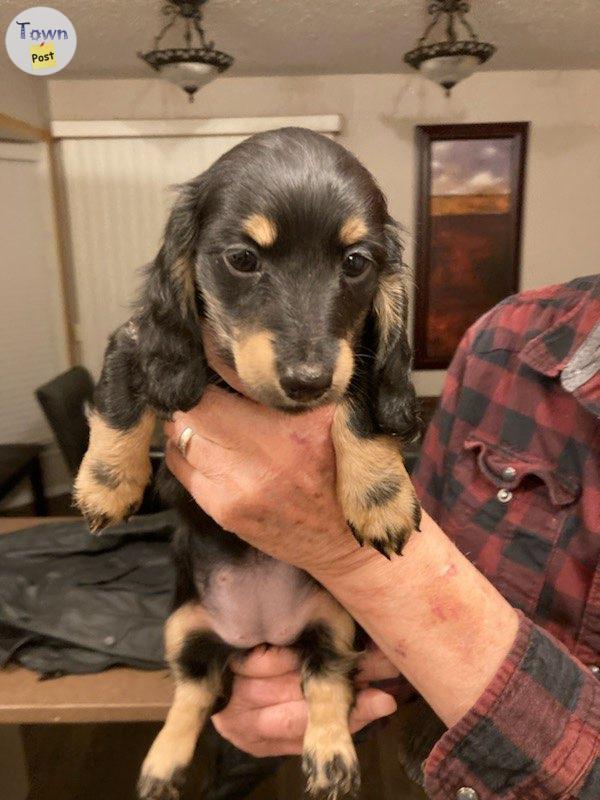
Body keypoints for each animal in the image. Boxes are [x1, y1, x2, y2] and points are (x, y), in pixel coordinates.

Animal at [74, 130, 422, 800]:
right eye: (242, 259)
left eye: (356, 263)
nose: (308, 381)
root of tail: (258, 636)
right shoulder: (138, 341)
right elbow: (121, 400)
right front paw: (106, 487)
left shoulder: (355, 357)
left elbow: (360, 401)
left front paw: (380, 496)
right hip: (183, 626)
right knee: (193, 691)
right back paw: (164, 763)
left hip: (334, 624)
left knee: (325, 680)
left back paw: (330, 755)